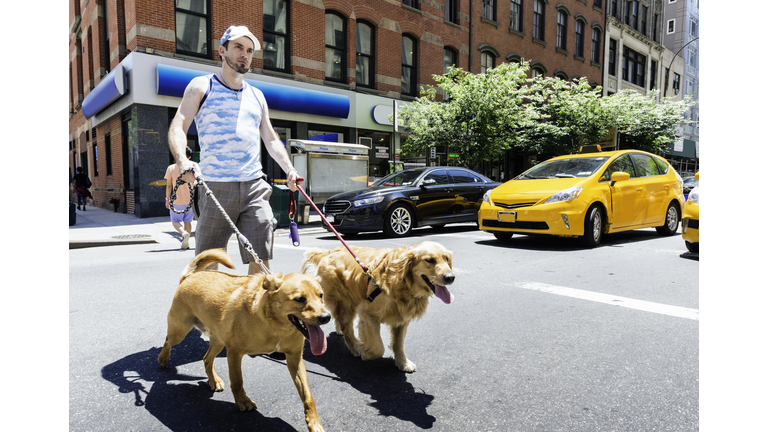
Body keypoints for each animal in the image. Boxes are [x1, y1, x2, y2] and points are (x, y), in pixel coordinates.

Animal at [159, 248, 330, 430]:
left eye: (321, 295)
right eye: (299, 299)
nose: (326, 317)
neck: (275, 325)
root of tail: (189, 276)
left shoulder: (294, 359)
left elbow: (307, 396)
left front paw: (314, 422)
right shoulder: (234, 353)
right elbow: (237, 381)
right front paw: (242, 401)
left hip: (218, 341)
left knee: (206, 359)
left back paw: (213, 380)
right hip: (180, 331)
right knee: (168, 341)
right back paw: (163, 358)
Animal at [302, 241, 456, 372]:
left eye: (446, 259)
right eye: (430, 260)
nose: (450, 277)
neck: (402, 283)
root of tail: (329, 252)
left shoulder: (402, 319)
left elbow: (398, 344)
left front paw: (403, 363)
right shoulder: (367, 314)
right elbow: (378, 347)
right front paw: (366, 353)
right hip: (345, 302)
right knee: (347, 327)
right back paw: (355, 347)